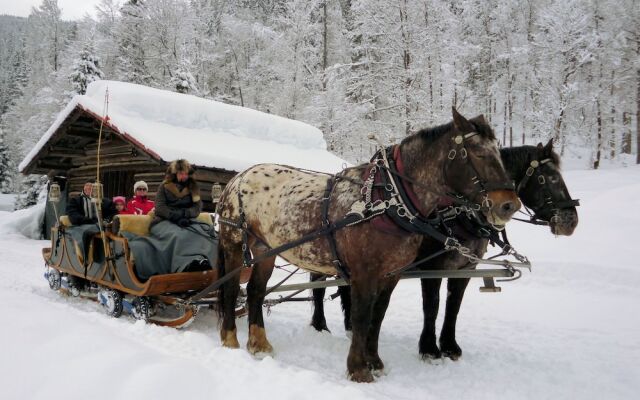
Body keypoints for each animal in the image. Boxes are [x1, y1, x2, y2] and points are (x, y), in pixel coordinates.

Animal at [215, 108, 520, 382]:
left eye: (500, 154)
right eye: (478, 153)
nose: (509, 205)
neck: (387, 199)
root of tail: (237, 178)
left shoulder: (391, 274)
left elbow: (378, 316)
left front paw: (375, 362)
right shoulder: (364, 273)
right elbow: (362, 317)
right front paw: (358, 369)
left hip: (264, 250)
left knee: (255, 291)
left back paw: (259, 344)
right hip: (233, 244)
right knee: (230, 289)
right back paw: (230, 340)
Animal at [310, 140, 580, 362]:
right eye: (548, 178)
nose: (571, 221)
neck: (459, 214)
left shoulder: (465, 268)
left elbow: (453, 306)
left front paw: (449, 346)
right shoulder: (433, 268)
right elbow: (433, 305)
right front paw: (429, 348)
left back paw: (349, 326)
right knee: (317, 285)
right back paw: (319, 325)